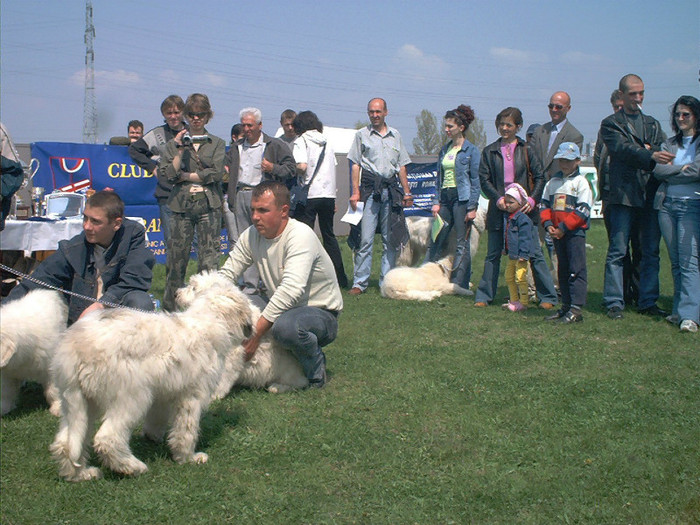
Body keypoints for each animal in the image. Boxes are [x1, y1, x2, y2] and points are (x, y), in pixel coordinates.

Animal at [0, 288, 67, 416]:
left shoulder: (51, 368)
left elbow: (54, 390)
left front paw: (58, 408)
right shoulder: (7, 374)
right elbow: (6, 393)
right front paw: (3, 408)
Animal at [50, 276, 258, 482]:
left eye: (192, 287)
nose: (176, 293)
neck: (206, 322)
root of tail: (76, 345)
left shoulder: (164, 392)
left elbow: (157, 417)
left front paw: (153, 437)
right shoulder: (192, 396)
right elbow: (186, 430)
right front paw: (189, 458)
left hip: (78, 401)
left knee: (65, 442)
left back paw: (81, 474)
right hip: (132, 397)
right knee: (107, 439)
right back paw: (133, 467)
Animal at [175, 270, 308, 398]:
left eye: (193, 288)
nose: (176, 294)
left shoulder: (232, 355)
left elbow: (222, 377)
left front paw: (214, 395)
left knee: (299, 384)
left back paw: (276, 387)